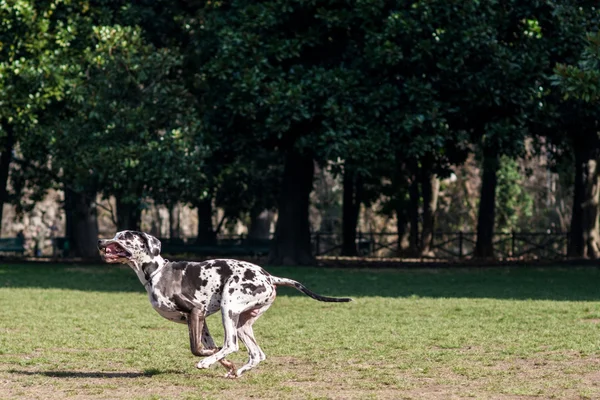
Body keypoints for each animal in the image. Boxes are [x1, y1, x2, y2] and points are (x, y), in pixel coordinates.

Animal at [97, 231, 352, 378]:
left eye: (123, 237)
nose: (100, 240)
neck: (156, 273)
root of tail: (269, 277)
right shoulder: (198, 319)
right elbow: (208, 347)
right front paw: (224, 363)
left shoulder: (196, 311)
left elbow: (198, 349)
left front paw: (209, 359)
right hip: (242, 322)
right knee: (257, 354)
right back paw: (237, 371)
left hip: (229, 308)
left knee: (232, 344)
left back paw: (212, 363)